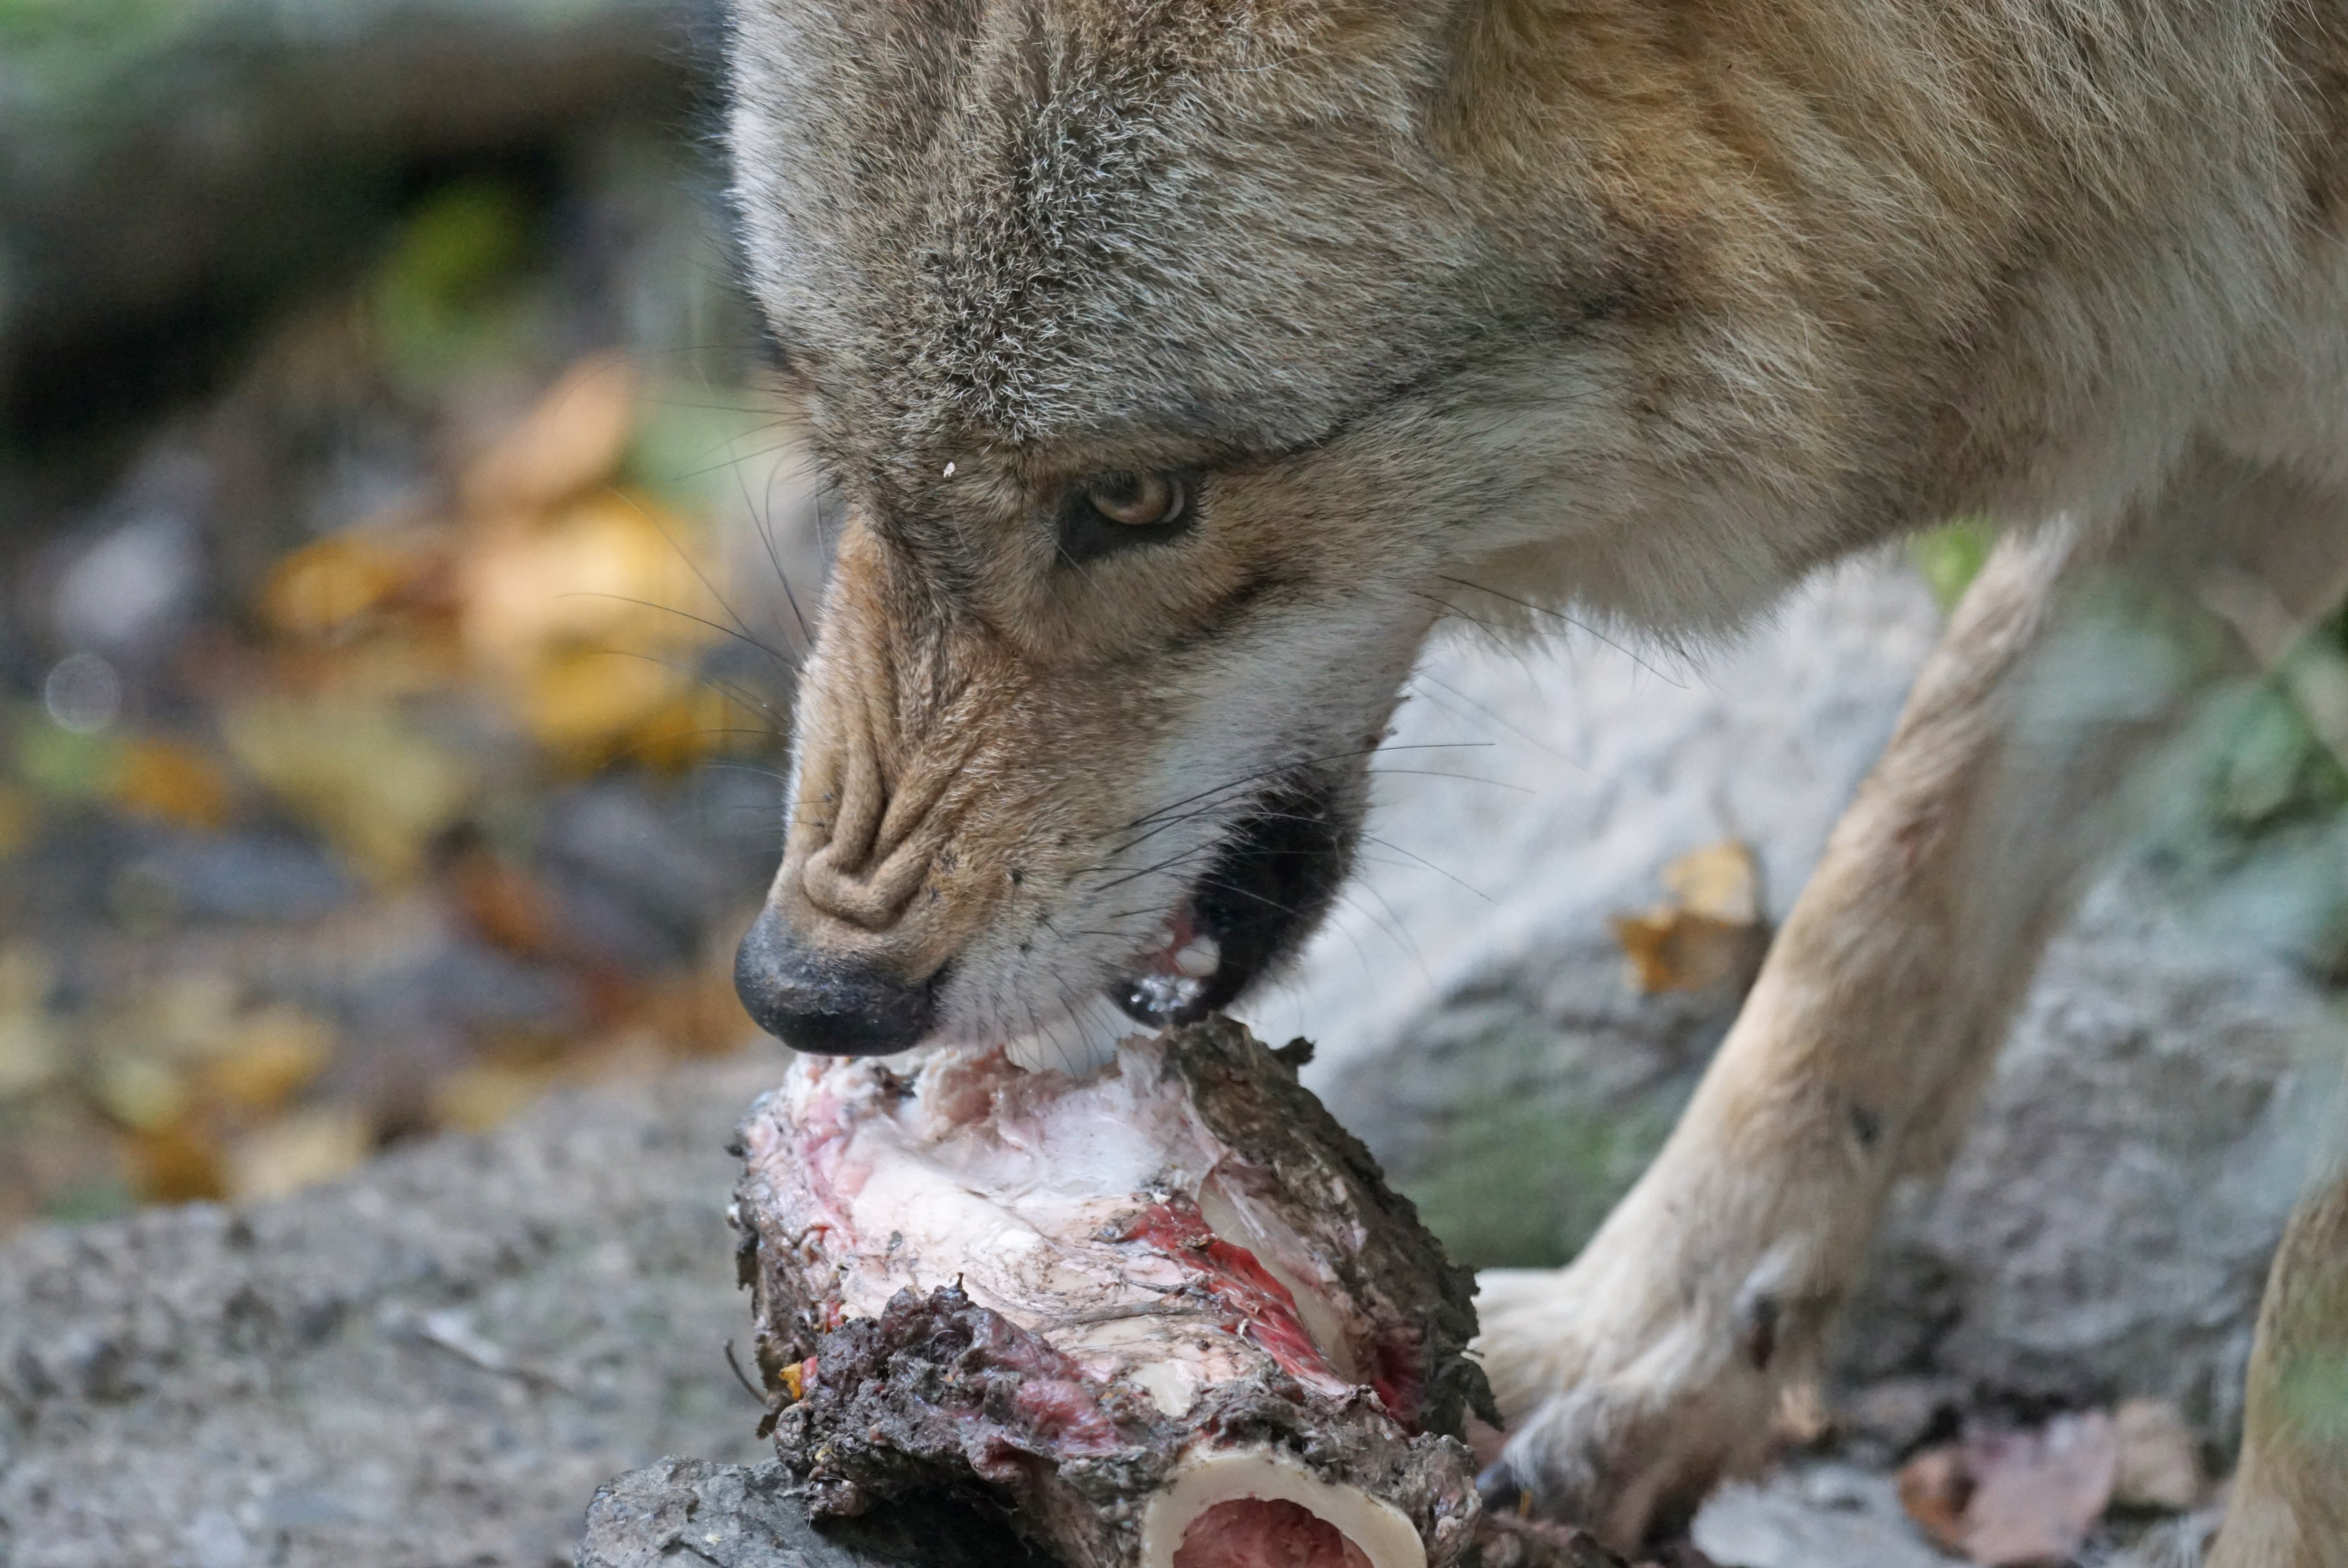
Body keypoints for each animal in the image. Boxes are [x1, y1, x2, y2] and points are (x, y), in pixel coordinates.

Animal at [722, 0, 2348, 1556]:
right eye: (837, 442)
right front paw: (1627, 1355)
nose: (803, 991)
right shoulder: (2214, 417)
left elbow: (2309, 1282)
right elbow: (1882, 890)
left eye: (1133, 497)